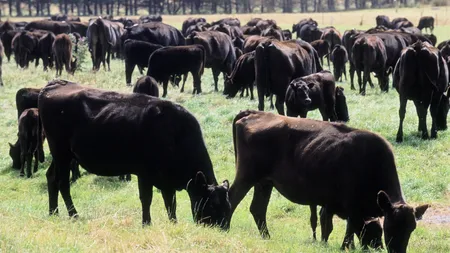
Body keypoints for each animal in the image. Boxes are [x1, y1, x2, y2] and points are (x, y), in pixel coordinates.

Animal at [37, 79, 232, 227]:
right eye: (213, 205)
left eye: (229, 207)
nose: (223, 229)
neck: (176, 133)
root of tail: (55, 85)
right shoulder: (145, 173)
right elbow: (147, 199)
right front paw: (147, 223)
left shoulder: (166, 180)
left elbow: (171, 203)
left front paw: (173, 223)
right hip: (61, 153)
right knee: (63, 183)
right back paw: (73, 215)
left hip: (62, 155)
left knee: (51, 177)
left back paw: (53, 212)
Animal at [227, 109, 430, 253]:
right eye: (390, 226)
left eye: (411, 228)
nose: (395, 250)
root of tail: (254, 113)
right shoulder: (350, 209)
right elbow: (346, 230)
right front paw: (344, 247)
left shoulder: (335, 207)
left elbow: (337, 228)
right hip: (246, 177)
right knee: (233, 198)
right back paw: (225, 227)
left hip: (264, 183)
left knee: (258, 209)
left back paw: (267, 237)